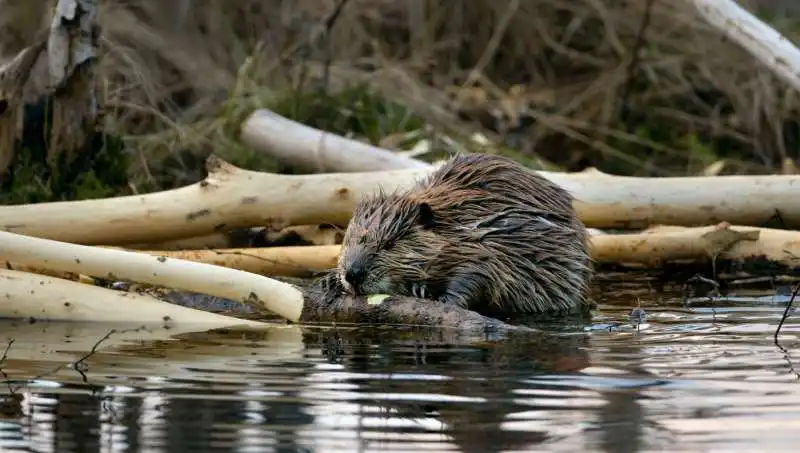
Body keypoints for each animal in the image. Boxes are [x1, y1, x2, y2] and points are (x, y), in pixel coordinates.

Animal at [334, 152, 592, 314]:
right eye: (348, 241)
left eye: (389, 244)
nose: (353, 274)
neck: (459, 222)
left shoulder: (495, 242)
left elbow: (481, 272)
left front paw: (438, 296)